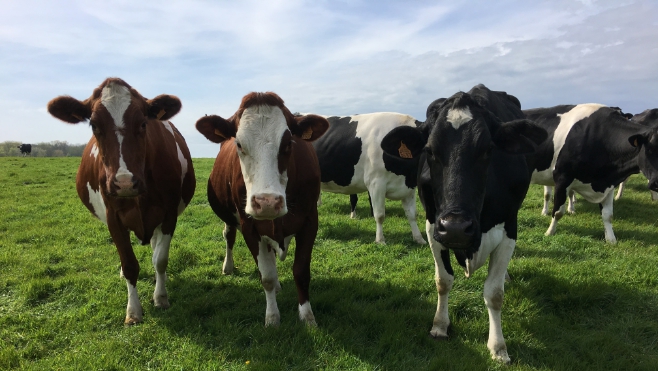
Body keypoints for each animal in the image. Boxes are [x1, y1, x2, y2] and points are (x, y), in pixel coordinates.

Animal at [47, 78, 195, 326]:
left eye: (143, 123)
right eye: (94, 125)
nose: (124, 182)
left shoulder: (168, 214)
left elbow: (160, 260)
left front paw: (161, 297)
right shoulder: (113, 218)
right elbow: (129, 265)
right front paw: (133, 311)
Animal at [195, 91, 328, 326]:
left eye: (288, 143)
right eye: (239, 144)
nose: (267, 202)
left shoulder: (310, 220)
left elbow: (301, 272)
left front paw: (307, 316)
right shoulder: (250, 226)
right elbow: (266, 276)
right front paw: (272, 317)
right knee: (229, 235)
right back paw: (228, 266)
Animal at [312, 113, 426, 247]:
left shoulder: (409, 186)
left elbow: (412, 214)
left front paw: (419, 238)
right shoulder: (376, 183)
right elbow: (380, 215)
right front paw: (380, 240)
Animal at [380, 83, 544, 364]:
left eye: (488, 150)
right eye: (430, 151)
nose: (456, 227)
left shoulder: (509, 227)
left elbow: (494, 293)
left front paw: (498, 346)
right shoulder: (434, 226)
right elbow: (443, 280)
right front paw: (439, 325)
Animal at [524, 104, 656, 244]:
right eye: (650, 150)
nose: (656, 183)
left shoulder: (609, 184)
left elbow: (608, 215)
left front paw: (611, 239)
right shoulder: (562, 178)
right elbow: (558, 211)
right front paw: (549, 232)